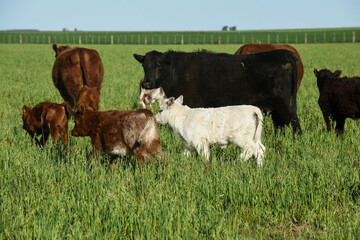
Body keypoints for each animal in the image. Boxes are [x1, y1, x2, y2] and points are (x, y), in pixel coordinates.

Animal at [134, 49, 300, 134]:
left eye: (159, 65)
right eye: (144, 66)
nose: (146, 83)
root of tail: (283, 53)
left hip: (285, 106)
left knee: (296, 126)